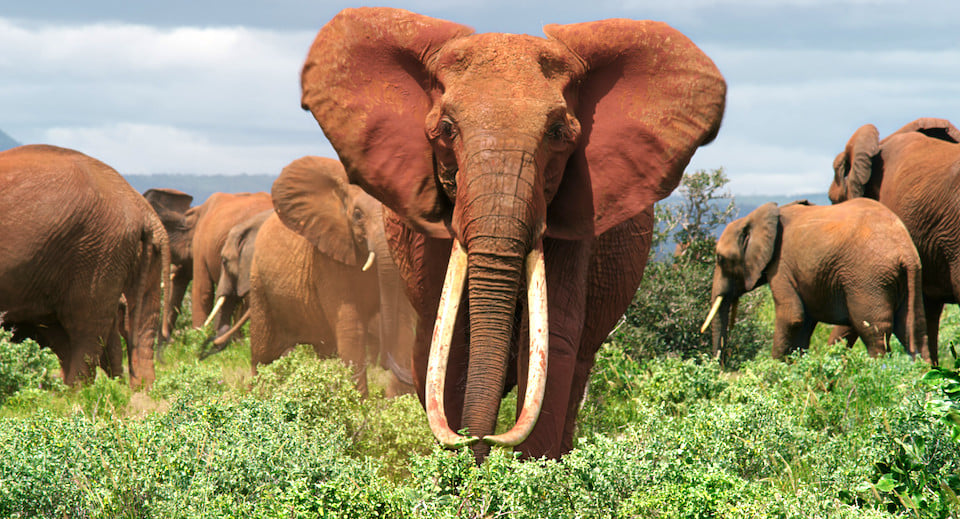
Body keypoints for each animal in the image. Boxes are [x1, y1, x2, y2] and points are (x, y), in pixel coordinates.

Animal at [0, 144, 170, 388]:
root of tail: (142, 208)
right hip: (137, 252)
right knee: (141, 321)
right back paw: (143, 392)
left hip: (98, 250)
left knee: (85, 327)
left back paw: (75, 393)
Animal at [250, 156, 418, 397]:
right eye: (357, 215)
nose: (386, 365)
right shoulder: (327, 260)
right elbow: (351, 326)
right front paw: (358, 403)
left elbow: (403, 322)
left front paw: (395, 402)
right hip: (259, 284)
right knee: (263, 355)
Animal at [702, 199, 926, 361]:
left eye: (720, 259)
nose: (720, 367)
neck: (757, 217)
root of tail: (905, 250)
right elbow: (803, 326)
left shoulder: (781, 265)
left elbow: (791, 317)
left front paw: (773, 371)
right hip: (909, 279)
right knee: (914, 330)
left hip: (869, 278)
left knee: (874, 332)